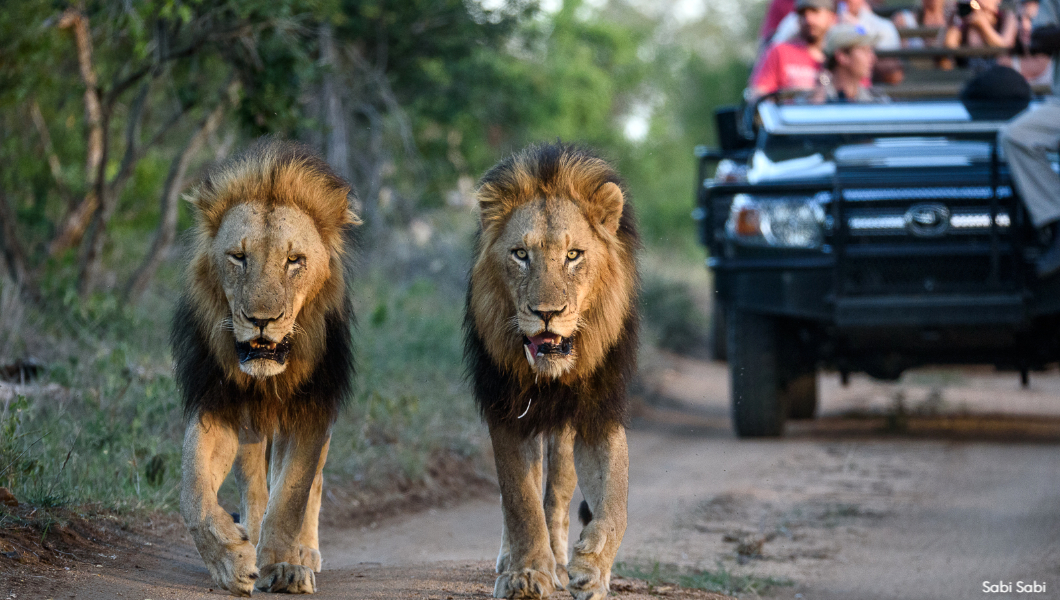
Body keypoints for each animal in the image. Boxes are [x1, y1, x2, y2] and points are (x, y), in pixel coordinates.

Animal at [170, 139, 360, 597]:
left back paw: (304, 551)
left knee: (309, 484)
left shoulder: (313, 409)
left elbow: (292, 496)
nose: (261, 319)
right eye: (238, 257)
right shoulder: (217, 402)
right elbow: (194, 493)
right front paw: (232, 561)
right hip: (250, 427)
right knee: (254, 484)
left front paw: (284, 566)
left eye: (294, 260)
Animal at [464, 144, 635, 600]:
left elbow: (615, 501)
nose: (547, 313)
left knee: (558, 491)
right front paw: (525, 574)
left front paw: (591, 567)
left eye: (573, 255)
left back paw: (560, 561)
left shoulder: (598, 413)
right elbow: (520, 501)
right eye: (521, 255)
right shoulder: (507, 411)